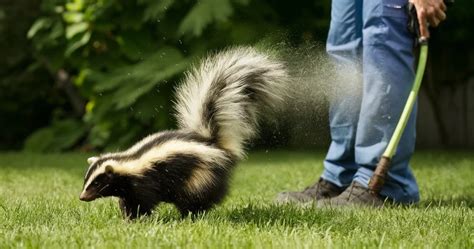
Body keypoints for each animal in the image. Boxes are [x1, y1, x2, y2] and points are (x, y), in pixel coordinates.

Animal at [79, 46, 286, 218]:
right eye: (86, 180)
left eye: (97, 183)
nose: (82, 196)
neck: (129, 161)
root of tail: (214, 144)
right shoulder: (128, 188)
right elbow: (127, 201)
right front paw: (127, 218)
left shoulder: (144, 181)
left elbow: (143, 201)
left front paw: (138, 218)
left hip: (200, 174)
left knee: (195, 197)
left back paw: (190, 217)